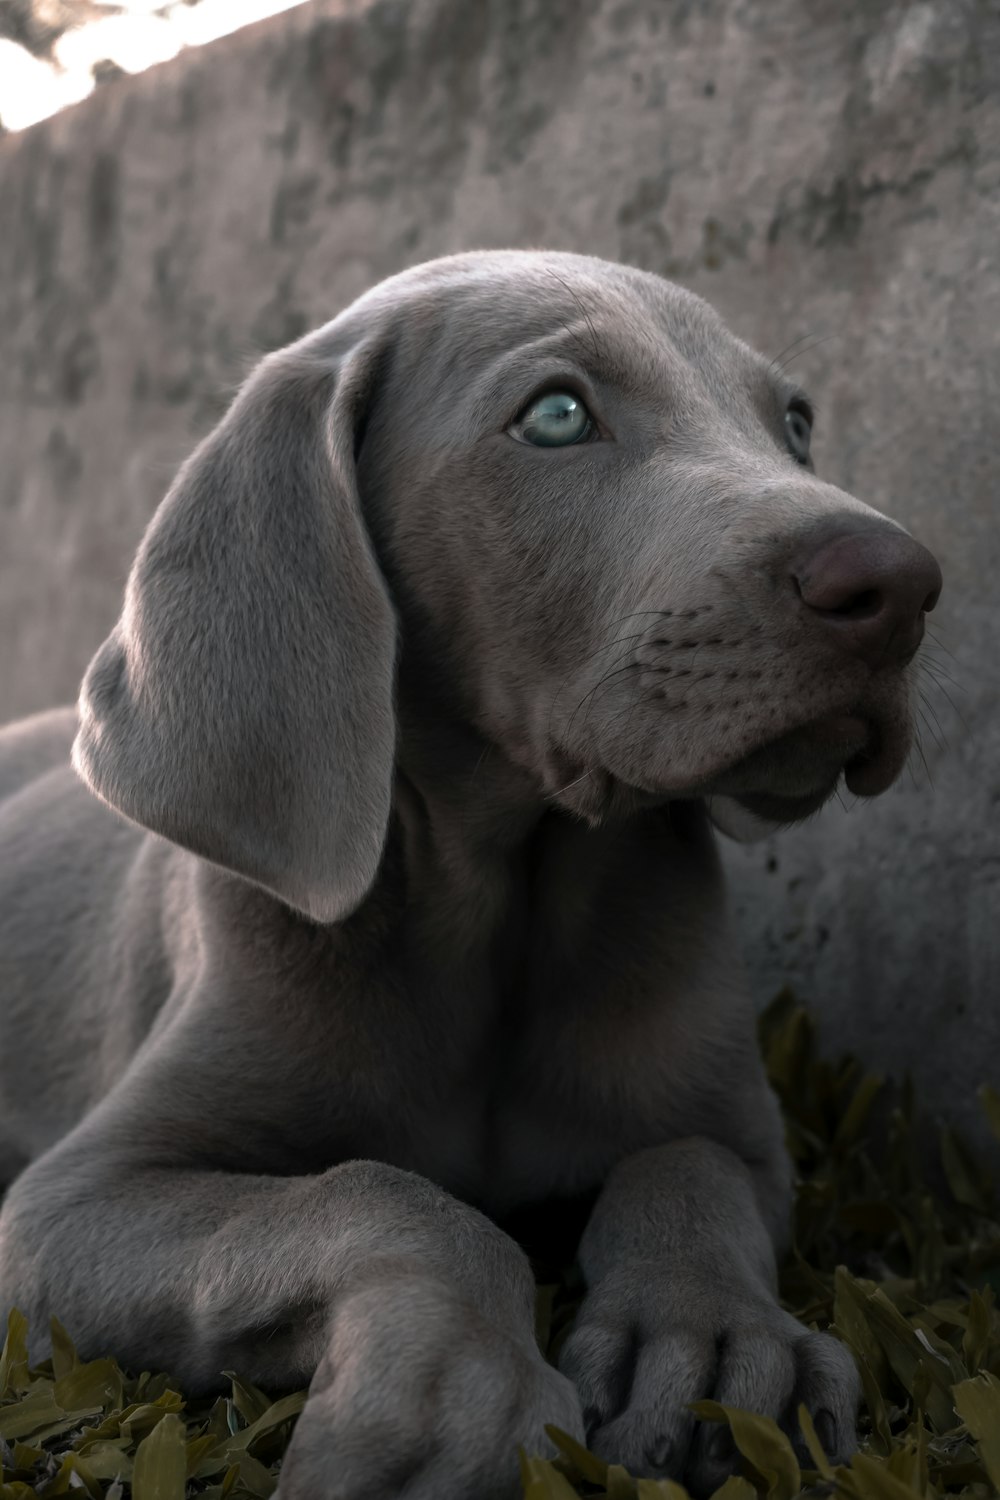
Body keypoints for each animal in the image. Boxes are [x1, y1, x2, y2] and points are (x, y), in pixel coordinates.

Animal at [0, 252, 941, 1494]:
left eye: (794, 424)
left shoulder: (747, 1137)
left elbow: (690, 1164)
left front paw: (709, 1343)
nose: (903, 582)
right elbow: (384, 1195)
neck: (503, 905)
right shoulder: (70, 1205)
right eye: (556, 415)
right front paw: (448, 1398)